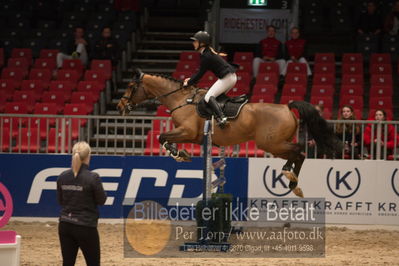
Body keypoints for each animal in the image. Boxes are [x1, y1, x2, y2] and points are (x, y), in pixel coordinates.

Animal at [117, 68, 342, 197]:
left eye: (131, 86)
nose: (120, 107)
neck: (181, 100)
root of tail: (287, 106)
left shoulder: (186, 132)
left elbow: (162, 137)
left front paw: (178, 154)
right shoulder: (194, 138)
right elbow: (164, 138)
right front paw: (181, 153)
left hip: (271, 144)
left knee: (298, 151)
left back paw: (290, 176)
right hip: (277, 144)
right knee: (297, 154)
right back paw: (293, 183)